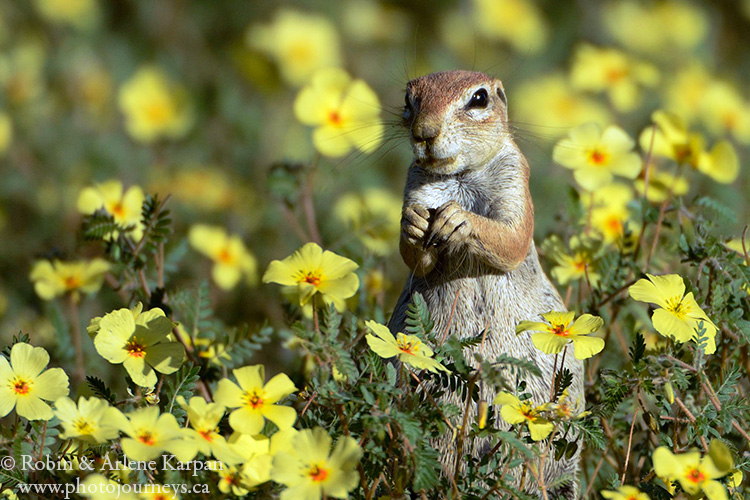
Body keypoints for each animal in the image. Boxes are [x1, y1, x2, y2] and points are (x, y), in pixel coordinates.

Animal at [390, 71, 584, 500]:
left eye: (478, 99)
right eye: (409, 100)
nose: (423, 133)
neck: (459, 176)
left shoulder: (515, 177)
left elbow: (510, 236)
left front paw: (459, 220)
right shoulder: (414, 183)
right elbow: (417, 258)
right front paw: (413, 224)